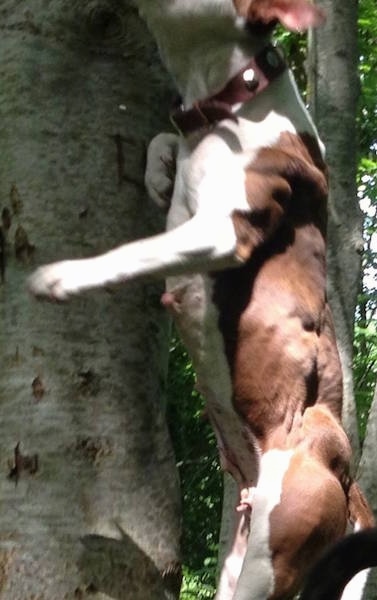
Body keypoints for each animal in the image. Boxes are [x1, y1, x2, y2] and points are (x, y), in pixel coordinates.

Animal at [27, 1, 374, 600]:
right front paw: (160, 171)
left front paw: (64, 277)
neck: (232, 101)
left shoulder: (221, 232)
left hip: (274, 553)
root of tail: (347, 481)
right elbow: (160, 146)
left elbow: (137, 251)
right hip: (239, 563)